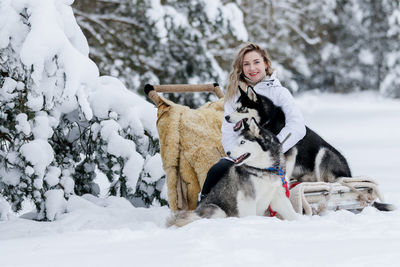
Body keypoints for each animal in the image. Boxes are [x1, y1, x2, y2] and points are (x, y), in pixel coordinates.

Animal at [166, 120, 300, 228]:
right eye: (237, 142)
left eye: (242, 142)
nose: (228, 153)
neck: (264, 169)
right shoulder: (247, 198)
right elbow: (250, 215)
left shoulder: (278, 196)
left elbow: (292, 214)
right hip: (217, 210)